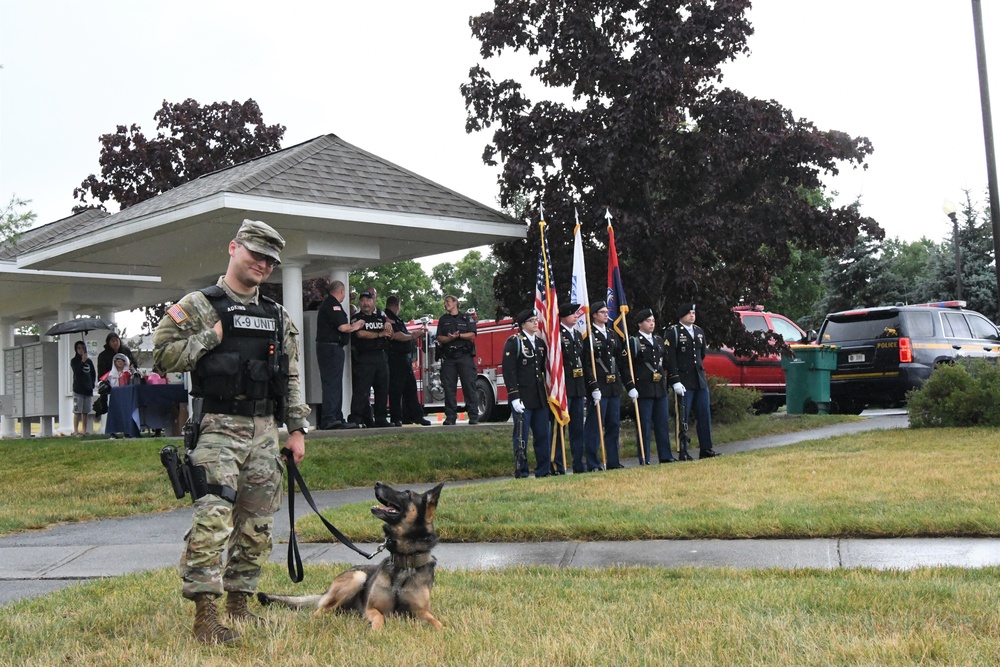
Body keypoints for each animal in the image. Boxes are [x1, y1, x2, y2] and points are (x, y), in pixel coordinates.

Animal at [260, 480, 444, 632]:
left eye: (406, 493)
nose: (377, 483)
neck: (404, 562)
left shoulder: (422, 612)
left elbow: (436, 622)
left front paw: (443, 631)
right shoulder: (371, 609)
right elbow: (379, 617)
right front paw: (376, 630)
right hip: (357, 577)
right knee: (319, 612)